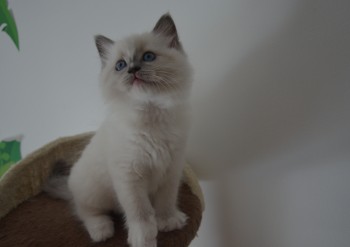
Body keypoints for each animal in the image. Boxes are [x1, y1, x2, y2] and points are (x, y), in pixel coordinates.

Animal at [45, 13, 193, 247]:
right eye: (120, 65)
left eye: (148, 57)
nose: (132, 70)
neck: (150, 114)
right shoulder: (129, 177)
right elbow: (140, 213)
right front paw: (144, 239)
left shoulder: (172, 170)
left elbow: (166, 202)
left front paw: (168, 223)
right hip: (93, 192)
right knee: (84, 212)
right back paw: (101, 231)